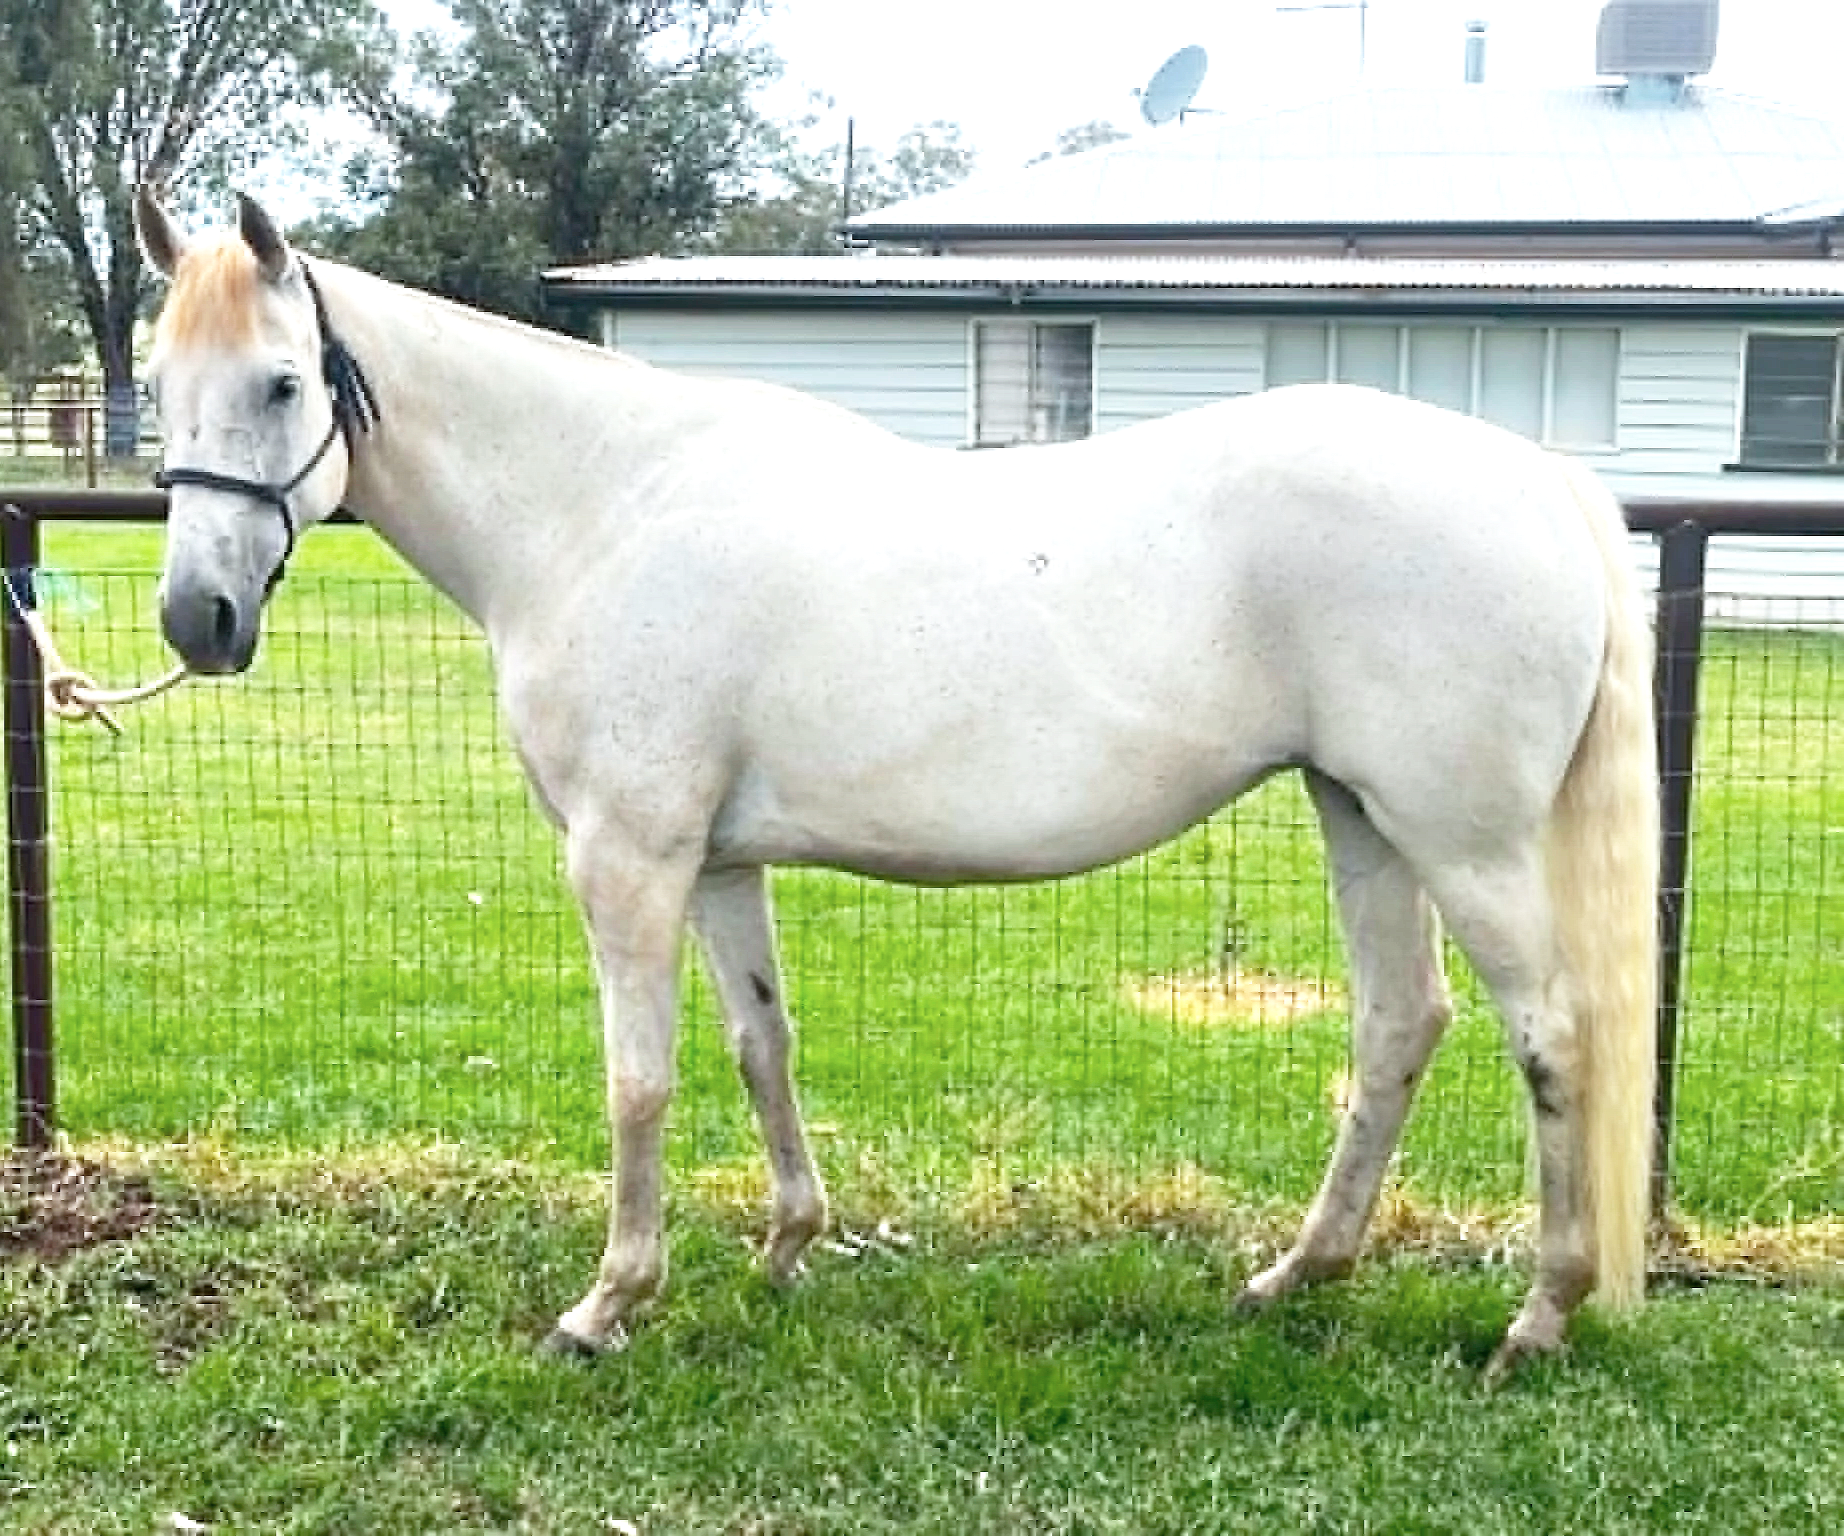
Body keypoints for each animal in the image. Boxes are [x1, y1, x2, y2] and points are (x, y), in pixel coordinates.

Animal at [134, 191, 1659, 1378]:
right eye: (157, 386)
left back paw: (1537, 1319)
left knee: (1554, 1036)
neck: (602, 508)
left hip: (1464, 841)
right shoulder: (719, 862)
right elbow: (760, 1042)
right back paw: (1294, 1278)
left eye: (281, 383)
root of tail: (1540, 482)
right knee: (1400, 1024)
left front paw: (607, 1305)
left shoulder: (627, 859)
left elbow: (639, 1080)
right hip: (1362, 818)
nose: (199, 620)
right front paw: (786, 1249)